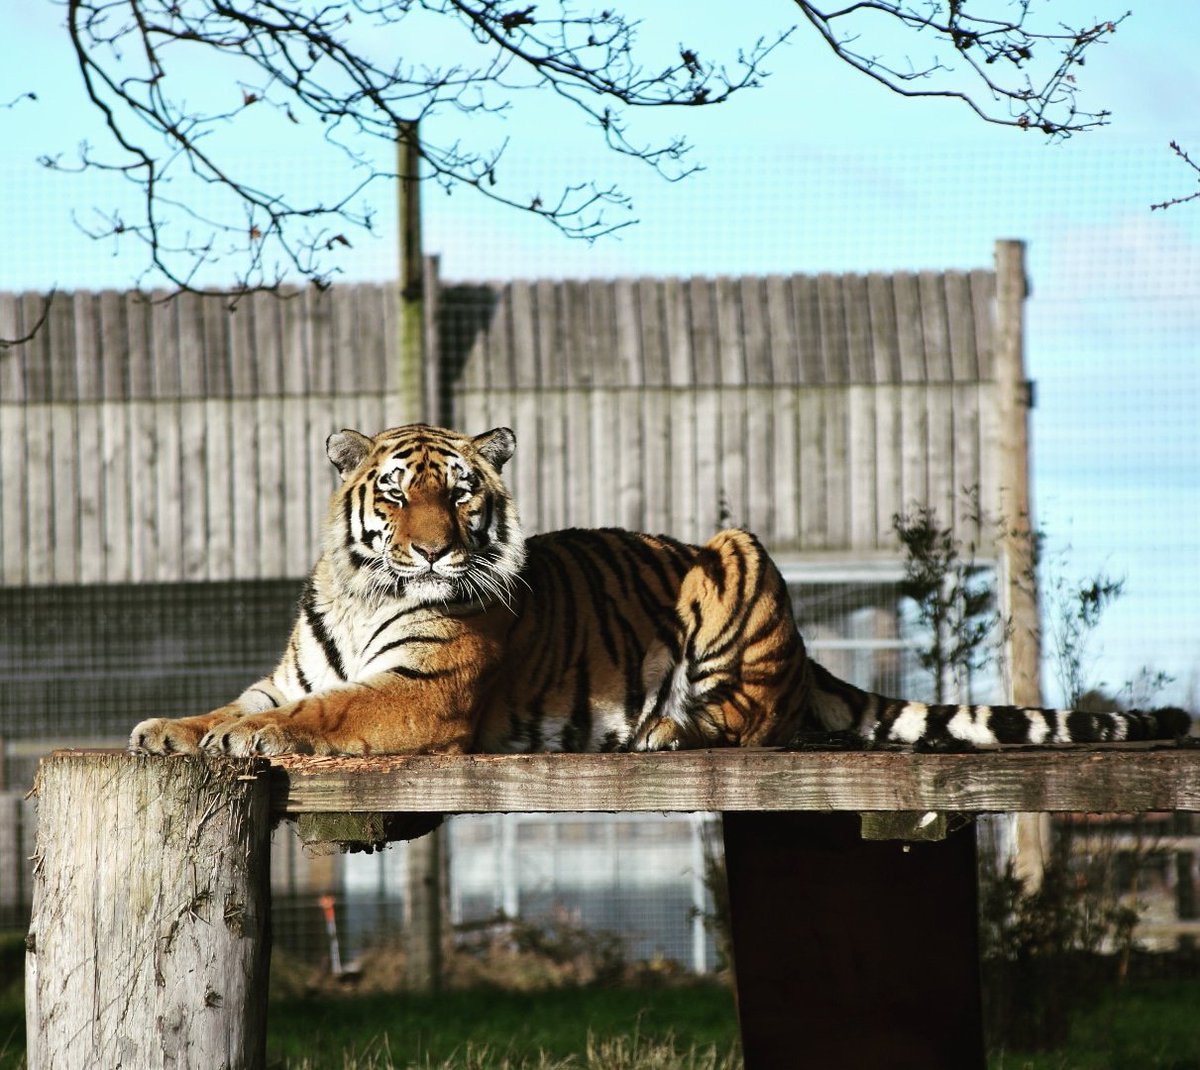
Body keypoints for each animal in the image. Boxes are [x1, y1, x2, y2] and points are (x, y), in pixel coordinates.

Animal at [130, 423, 1191, 758]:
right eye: (395, 493)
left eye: (461, 493)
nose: (431, 554)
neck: (366, 593)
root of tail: (809, 658)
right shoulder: (290, 672)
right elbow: (239, 700)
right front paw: (170, 729)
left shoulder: (423, 692)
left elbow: (329, 713)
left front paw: (250, 741)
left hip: (739, 555)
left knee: (755, 722)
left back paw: (666, 730)